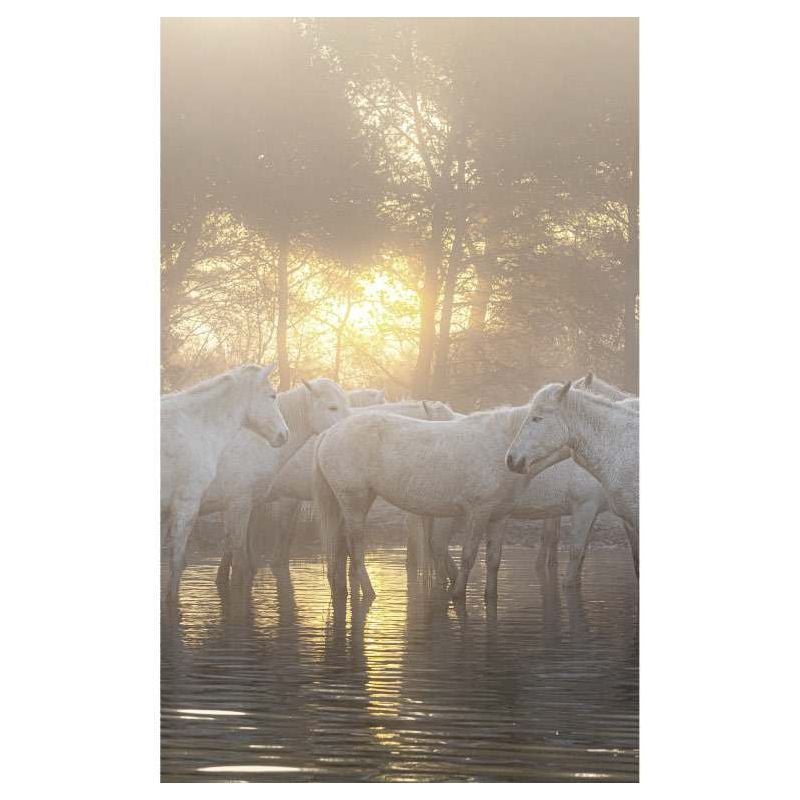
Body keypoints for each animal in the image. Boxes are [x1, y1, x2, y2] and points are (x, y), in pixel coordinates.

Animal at [313, 404, 540, 602]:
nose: (516, 461)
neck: (500, 441)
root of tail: (329, 433)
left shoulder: (499, 515)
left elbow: (492, 559)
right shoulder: (479, 512)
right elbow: (468, 555)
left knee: (340, 544)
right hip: (353, 499)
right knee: (354, 545)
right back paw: (369, 593)